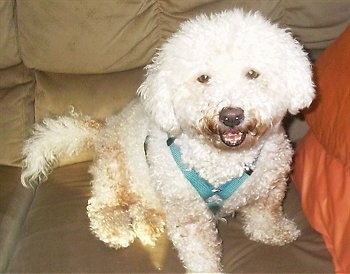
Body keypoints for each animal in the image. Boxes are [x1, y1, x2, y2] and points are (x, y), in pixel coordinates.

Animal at [21, 9, 314, 272]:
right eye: (203, 78)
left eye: (252, 73)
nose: (231, 116)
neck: (225, 161)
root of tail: (102, 128)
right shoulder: (189, 216)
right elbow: (201, 255)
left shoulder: (270, 187)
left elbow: (265, 215)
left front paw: (275, 232)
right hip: (114, 173)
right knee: (103, 205)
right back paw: (115, 228)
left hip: (153, 190)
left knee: (142, 207)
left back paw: (147, 225)